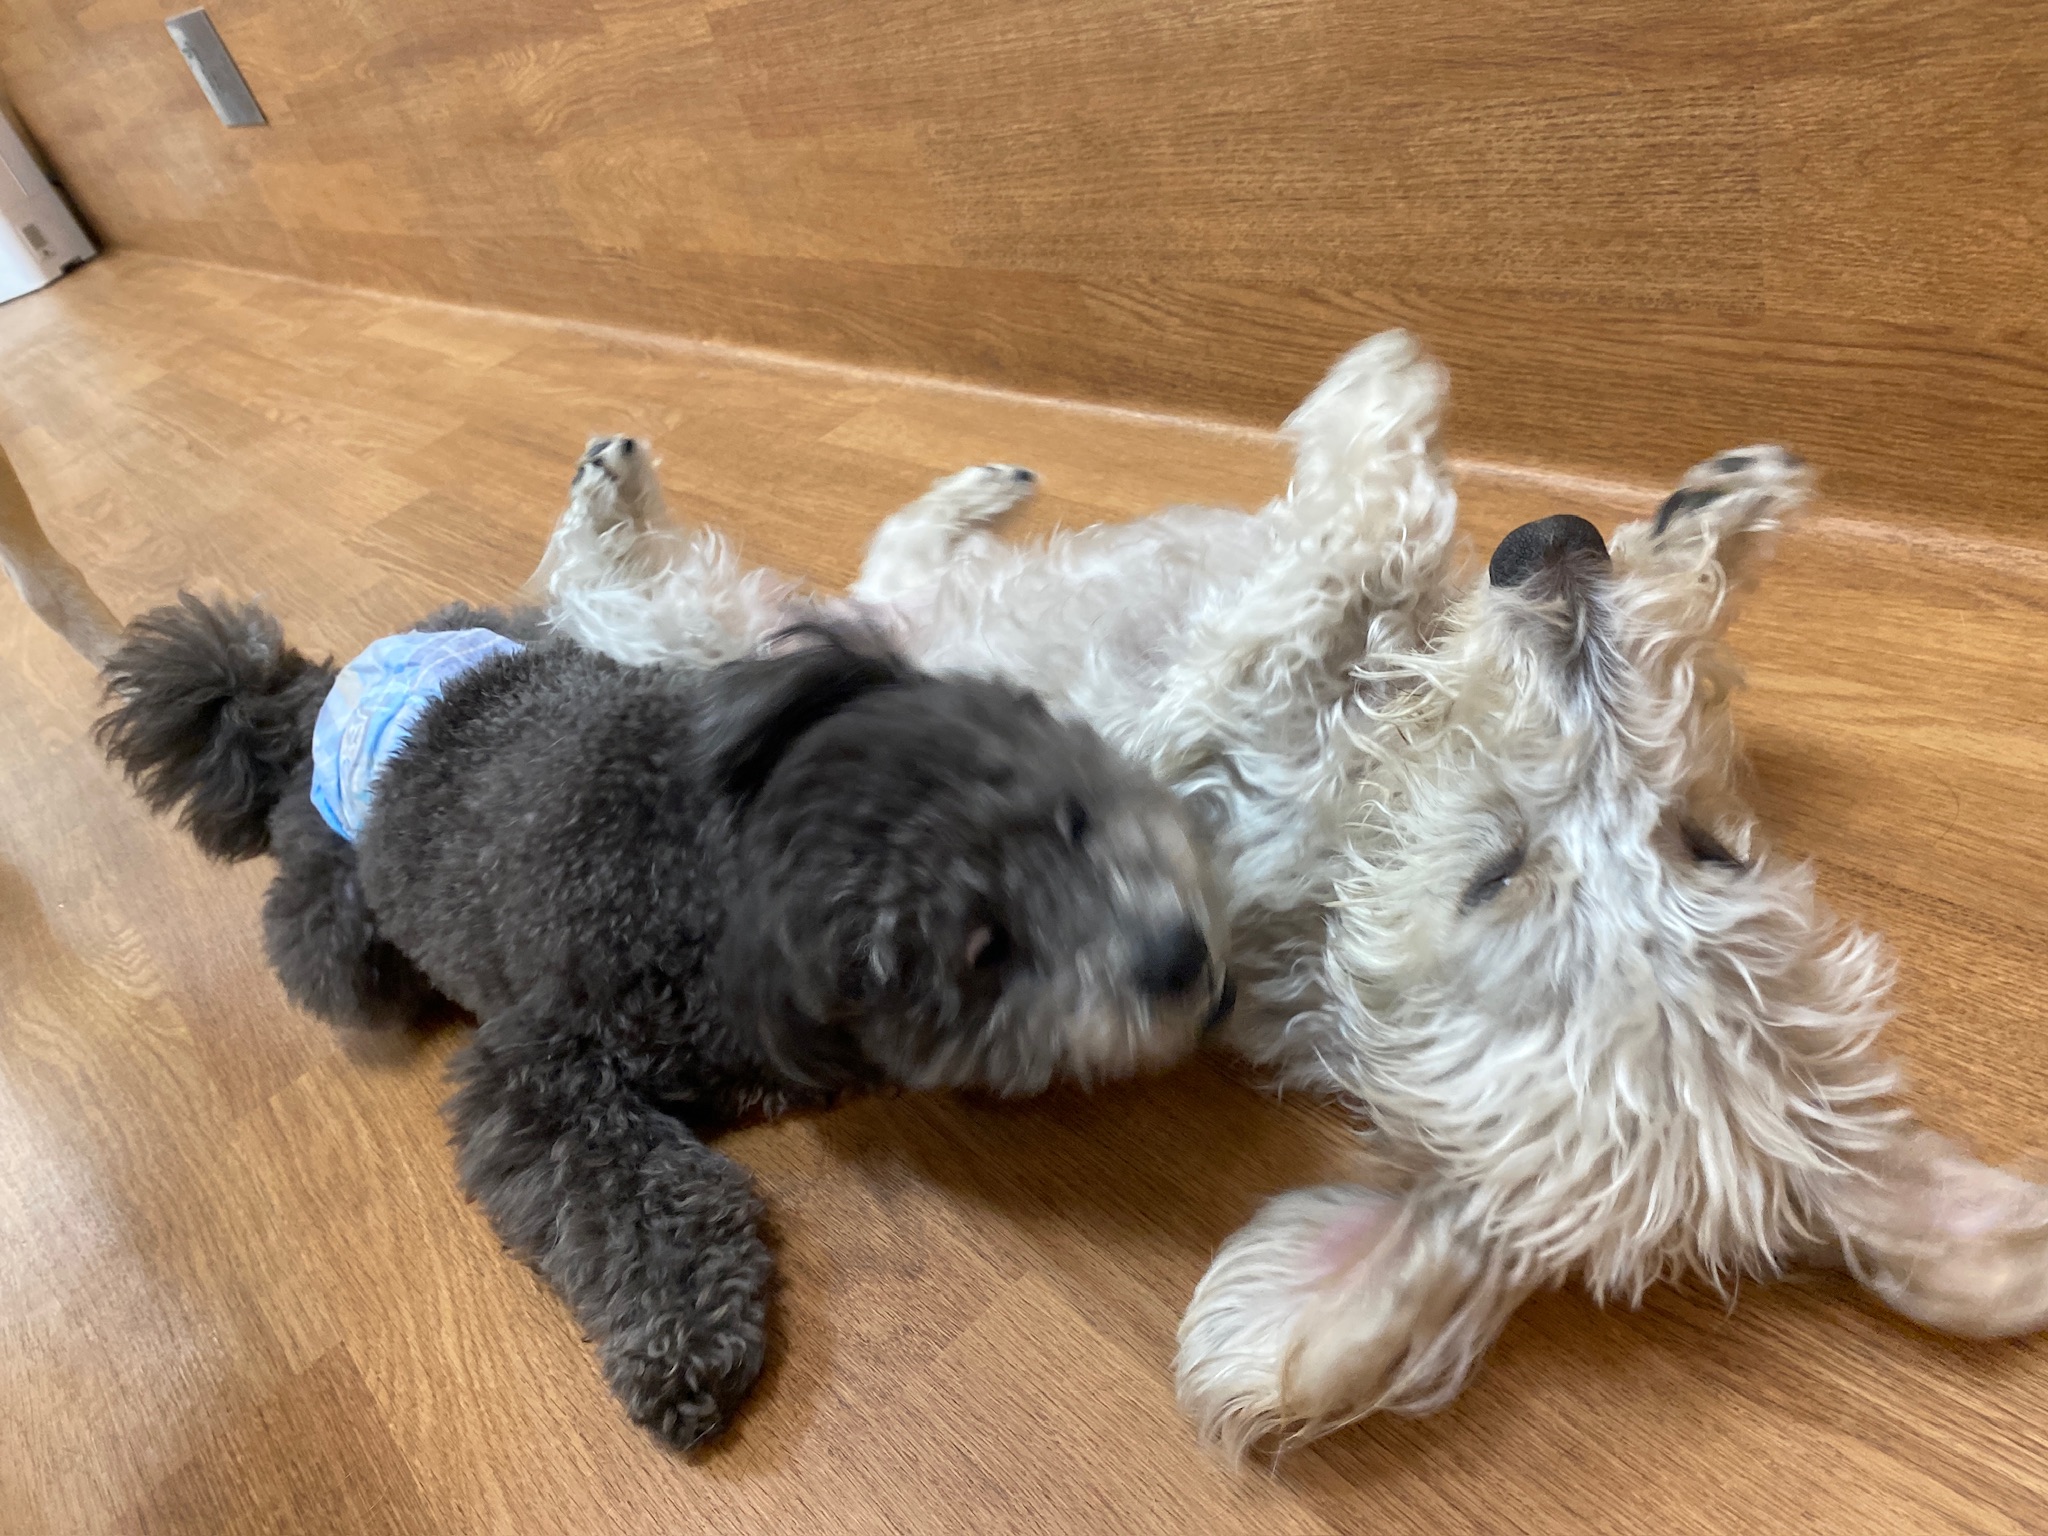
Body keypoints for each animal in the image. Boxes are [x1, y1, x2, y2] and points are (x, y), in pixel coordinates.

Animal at [95, 583, 1229, 1451]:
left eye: (1071, 819)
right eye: (986, 947)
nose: (1182, 960)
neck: (704, 859)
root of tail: (316, 694)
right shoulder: (540, 1070)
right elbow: (637, 1198)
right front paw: (684, 1348)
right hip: (339, 925)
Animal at [533, 336, 2048, 1458]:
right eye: (1706, 849)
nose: (1553, 554)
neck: (1350, 842)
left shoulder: (1221, 726)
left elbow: (1362, 569)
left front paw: (1440, 432)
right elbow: (1386, 579)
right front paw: (1684, 516)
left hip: (759, 652)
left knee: (680, 590)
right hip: (812, 646)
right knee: (768, 579)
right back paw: (938, 486)